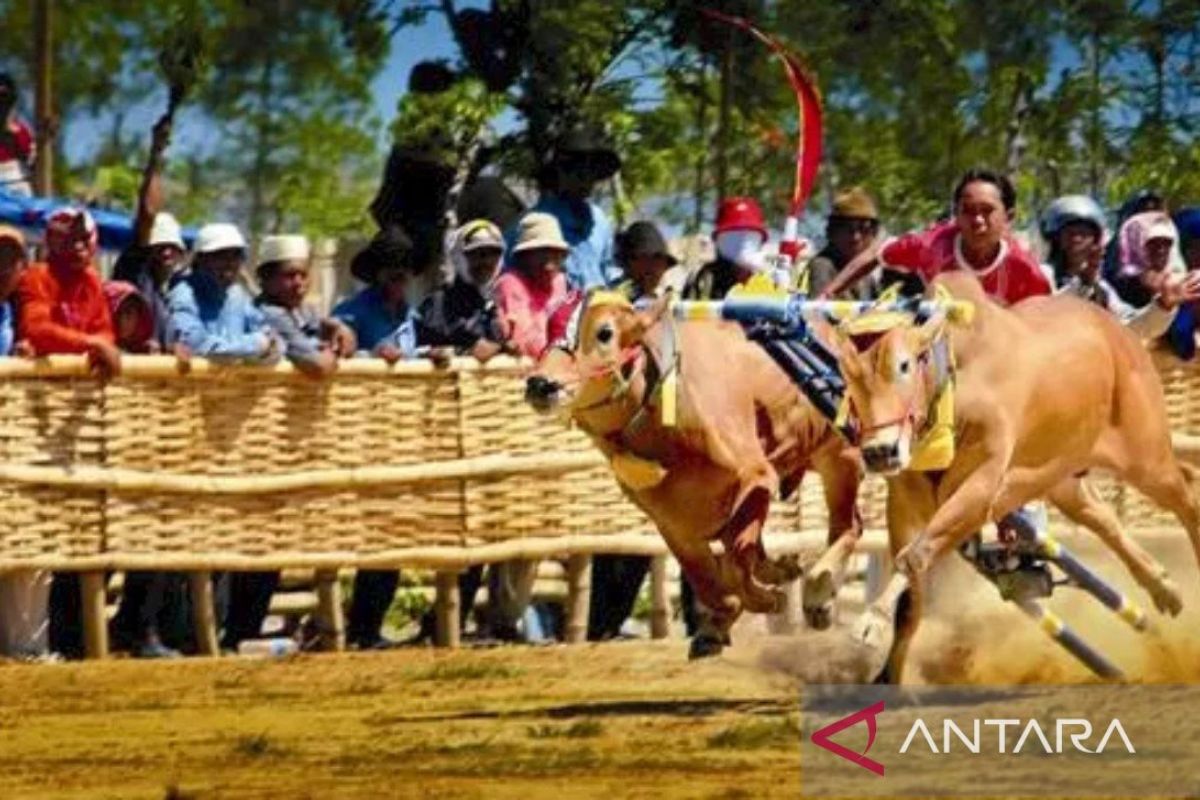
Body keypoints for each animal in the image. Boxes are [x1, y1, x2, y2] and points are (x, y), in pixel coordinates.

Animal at [528, 293, 864, 657]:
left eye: (604, 332)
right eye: (547, 327)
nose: (539, 384)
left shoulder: (758, 477)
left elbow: (735, 561)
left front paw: (768, 599)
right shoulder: (674, 525)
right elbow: (707, 580)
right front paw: (717, 626)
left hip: (839, 456)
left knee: (847, 527)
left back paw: (818, 595)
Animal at [835, 273, 1200, 681]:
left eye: (903, 365)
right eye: (849, 375)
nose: (879, 451)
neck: (954, 383)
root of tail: (1119, 331)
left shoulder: (979, 490)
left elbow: (914, 557)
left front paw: (871, 622)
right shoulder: (905, 502)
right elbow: (911, 599)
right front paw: (887, 674)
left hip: (1146, 457)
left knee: (1187, 490)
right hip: (1063, 475)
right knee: (1100, 515)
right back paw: (1163, 587)